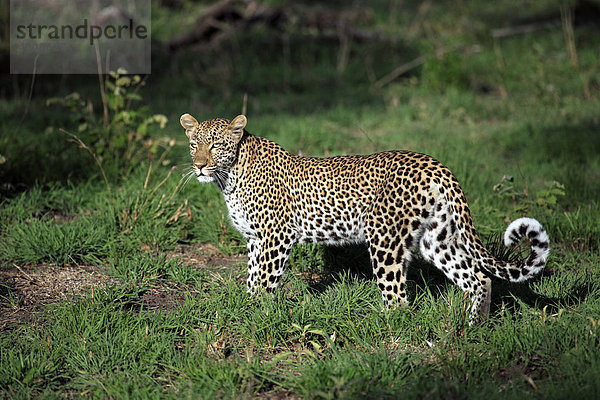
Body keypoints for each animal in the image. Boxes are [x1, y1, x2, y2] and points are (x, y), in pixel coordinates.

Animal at [180, 113, 552, 324]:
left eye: (216, 146)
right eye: (194, 145)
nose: (198, 166)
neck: (228, 176)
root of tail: (436, 164)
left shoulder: (276, 237)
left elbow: (264, 282)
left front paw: (259, 315)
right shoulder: (255, 239)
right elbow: (252, 278)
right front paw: (248, 309)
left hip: (384, 239)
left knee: (399, 299)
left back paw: (382, 330)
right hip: (437, 239)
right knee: (478, 277)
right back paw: (476, 328)